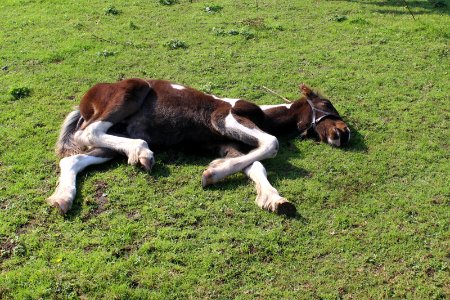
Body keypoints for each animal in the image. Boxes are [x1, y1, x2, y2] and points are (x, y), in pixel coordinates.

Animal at [49, 78, 352, 216]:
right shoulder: (226, 119)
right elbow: (271, 144)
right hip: (128, 93)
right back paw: (143, 151)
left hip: (112, 143)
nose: (345, 133)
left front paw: (274, 199)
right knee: (89, 132)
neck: (262, 115)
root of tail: (87, 100)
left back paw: (62, 198)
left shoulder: (229, 144)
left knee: (73, 159)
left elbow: (256, 165)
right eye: (326, 104)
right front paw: (212, 174)